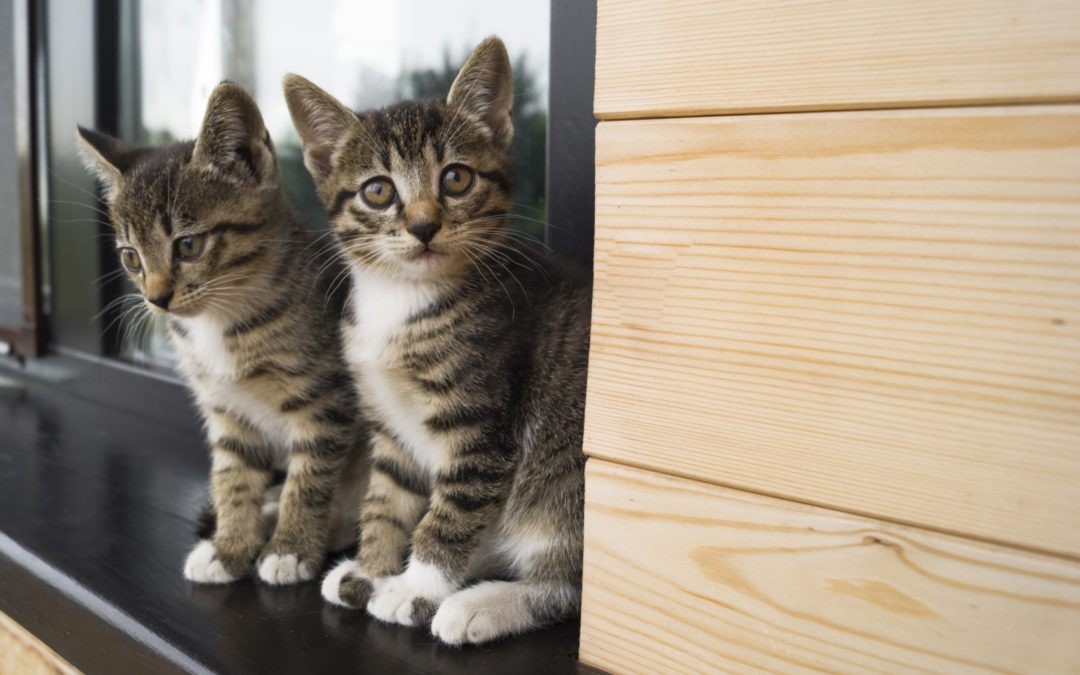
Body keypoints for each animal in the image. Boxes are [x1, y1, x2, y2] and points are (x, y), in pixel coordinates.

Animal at [77, 80, 367, 583]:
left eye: (189, 246)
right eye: (131, 257)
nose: (156, 298)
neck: (223, 323)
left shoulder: (327, 402)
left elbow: (309, 478)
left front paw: (290, 549)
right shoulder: (225, 407)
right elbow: (232, 475)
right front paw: (230, 547)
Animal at [285, 35, 591, 643]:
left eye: (455, 178)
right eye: (378, 191)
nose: (424, 226)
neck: (402, 300)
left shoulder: (482, 426)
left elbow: (450, 513)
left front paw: (415, 587)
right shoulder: (388, 427)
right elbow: (388, 499)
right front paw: (373, 568)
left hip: (563, 487)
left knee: (566, 586)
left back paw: (475, 605)